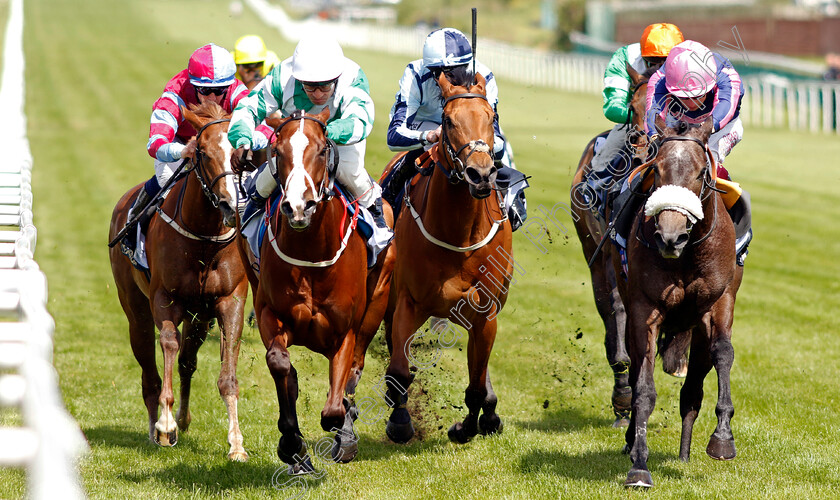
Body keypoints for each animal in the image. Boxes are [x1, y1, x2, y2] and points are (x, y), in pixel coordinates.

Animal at [106, 101, 249, 460]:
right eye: (202, 152)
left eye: (240, 153)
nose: (229, 205)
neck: (205, 239)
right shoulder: (165, 299)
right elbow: (168, 345)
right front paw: (165, 424)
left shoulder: (229, 301)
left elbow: (227, 373)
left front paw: (236, 443)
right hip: (136, 310)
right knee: (150, 369)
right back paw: (156, 428)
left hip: (201, 316)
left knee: (187, 361)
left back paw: (183, 420)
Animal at [236, 107, 394, 466]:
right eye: (278, 151)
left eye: (323, 150)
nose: (298, 206)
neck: (311, 252)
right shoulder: (269, 312)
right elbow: (280, 365)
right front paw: (292, 444)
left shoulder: (345, 331)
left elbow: (335, 407)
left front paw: (342, 433)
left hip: (376, 304)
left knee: (355, 370)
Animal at [380, 72, 512, 444]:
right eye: (449, 121)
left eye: (491, 118)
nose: (480, 174)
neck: (459, 233)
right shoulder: (408, 303)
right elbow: (398, 371)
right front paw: (400, 422)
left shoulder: (485, 314)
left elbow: (477, 385)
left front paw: (467, 427)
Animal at [616, 117, 740, 488]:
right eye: (656, 170)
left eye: (700, 173)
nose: (671, 236)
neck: (686, 256)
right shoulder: (644, 309)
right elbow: (643, 389)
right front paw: (639, 465)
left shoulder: (719, 302)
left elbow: (723, 353)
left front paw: (722, 439)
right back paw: (632, 441)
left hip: (696, 333)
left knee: (692, 389)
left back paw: (685, 454)